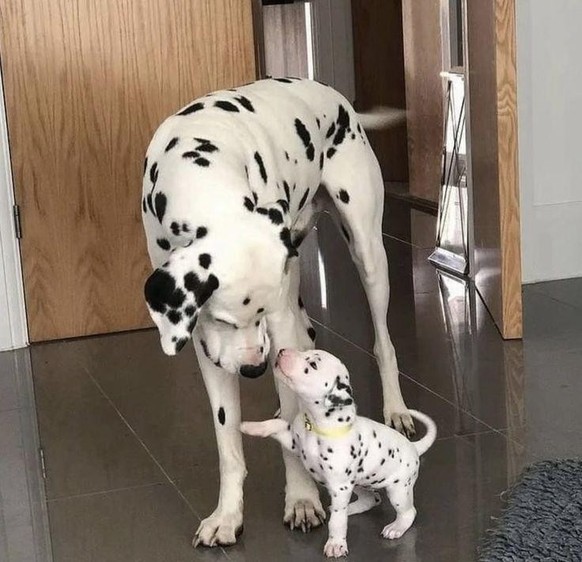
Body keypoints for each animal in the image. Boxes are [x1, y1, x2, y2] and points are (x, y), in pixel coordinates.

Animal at [141, 76, 416, 544]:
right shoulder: (208, 346)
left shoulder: (277, 323)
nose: (253, 370)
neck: (201, 173)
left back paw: (395, 407)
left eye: (260, 314)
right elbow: (228, 440)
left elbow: (292, 423)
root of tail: (331, 93)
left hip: (368, 255)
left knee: (384, 342)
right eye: (222, 319)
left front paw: (302, 500)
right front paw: (227, 515)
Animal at [242, 348, 438, 556]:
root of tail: (414, 447)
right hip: (359, 483)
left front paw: (336, 544)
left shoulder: (339, 487)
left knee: (408, 512)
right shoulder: (294, 441)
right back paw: (351, 508)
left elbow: (337, 521)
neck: (316, 425)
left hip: (398, 490)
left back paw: (396, 527)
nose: (281, 351)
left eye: (313, 365)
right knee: (371, 499)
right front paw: (250, 427)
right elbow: (275, 424)